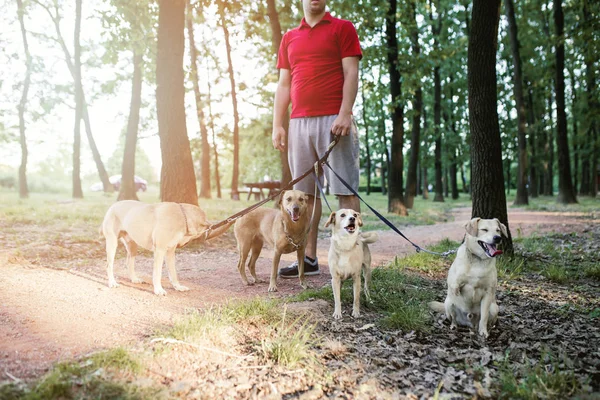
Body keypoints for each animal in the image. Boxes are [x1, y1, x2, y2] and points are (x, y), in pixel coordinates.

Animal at [99, 202, 233, 296]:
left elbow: (173, 273)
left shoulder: (170, 252)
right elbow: (157, 273)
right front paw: (158, 290)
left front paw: (177, 287)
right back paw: (112, 282)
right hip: (112, 243)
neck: (182, 217)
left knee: (129, 262)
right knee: (109, 265)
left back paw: (134, 279)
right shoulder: (160, 251)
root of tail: (113, 205)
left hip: (133, 246)